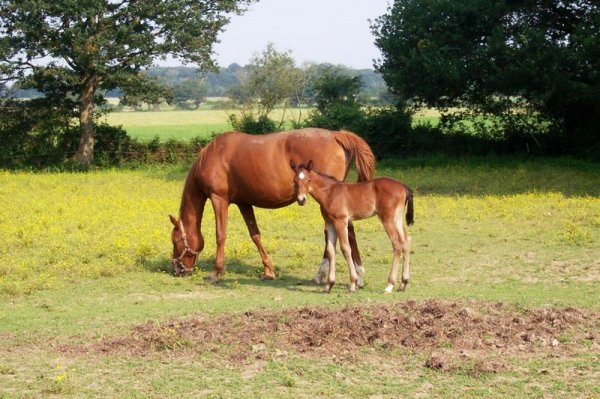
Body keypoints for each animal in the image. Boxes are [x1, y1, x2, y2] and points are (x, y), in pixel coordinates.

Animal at [170, 128, 376, 284]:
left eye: (175, 240)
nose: (176, 269)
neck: (214, 155)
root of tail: (335, 135)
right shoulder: (244, 202)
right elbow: (255, 234)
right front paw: (268, 270)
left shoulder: (218, 199)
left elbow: (220, 235)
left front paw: (216, 272)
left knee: (340, 232)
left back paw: (329, 275)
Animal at [290, 161, 412, 296]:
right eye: (295, 180)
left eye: (309, 180)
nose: (301, 200)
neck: (329, 192)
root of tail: (404, 187)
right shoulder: (330, 223)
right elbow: (331, 251)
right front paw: (328, 285)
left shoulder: (341, 221)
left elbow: (346, 249)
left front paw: (353, 283)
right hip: (397, 218)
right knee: (406, 241)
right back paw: (403, 283)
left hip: (387, 218)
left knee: (397, 244)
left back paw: (389, 285)